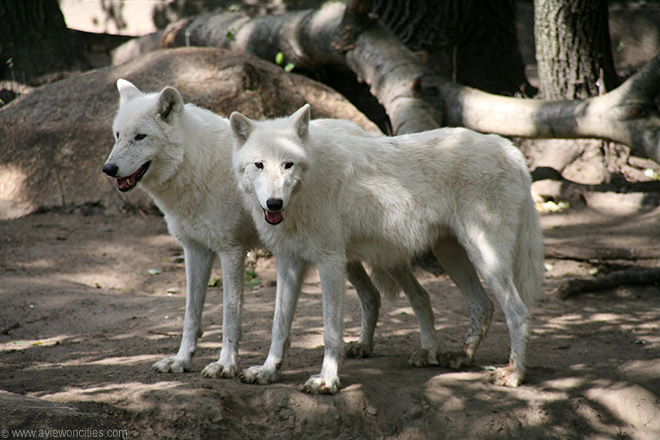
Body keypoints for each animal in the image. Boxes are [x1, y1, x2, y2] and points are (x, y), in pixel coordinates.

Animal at [102, 80, 383, 379]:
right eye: (118, 135)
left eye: (140, 137)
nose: (108, 168)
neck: (198, 167)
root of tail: (360, 129)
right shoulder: (195, 250)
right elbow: (191, 316)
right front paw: (181, 360)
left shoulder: (231, 251)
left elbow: (230, 317)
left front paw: (225, 364)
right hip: (345, 256)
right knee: (372, 295)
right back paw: (364, 346)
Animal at [231, 105, 544, 394]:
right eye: (259, 165)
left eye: (288, 165)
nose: (274, 203)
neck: (307, 189)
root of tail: (510, 149)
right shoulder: (289, 262)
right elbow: (278, 326)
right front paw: (268, 371)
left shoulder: (330, 261)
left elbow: (331, 333)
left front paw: (327, 380)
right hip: (450, 255)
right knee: (482, 304)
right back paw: (461, 356)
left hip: (485, 257)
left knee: (517, 311)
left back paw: (513, 374)